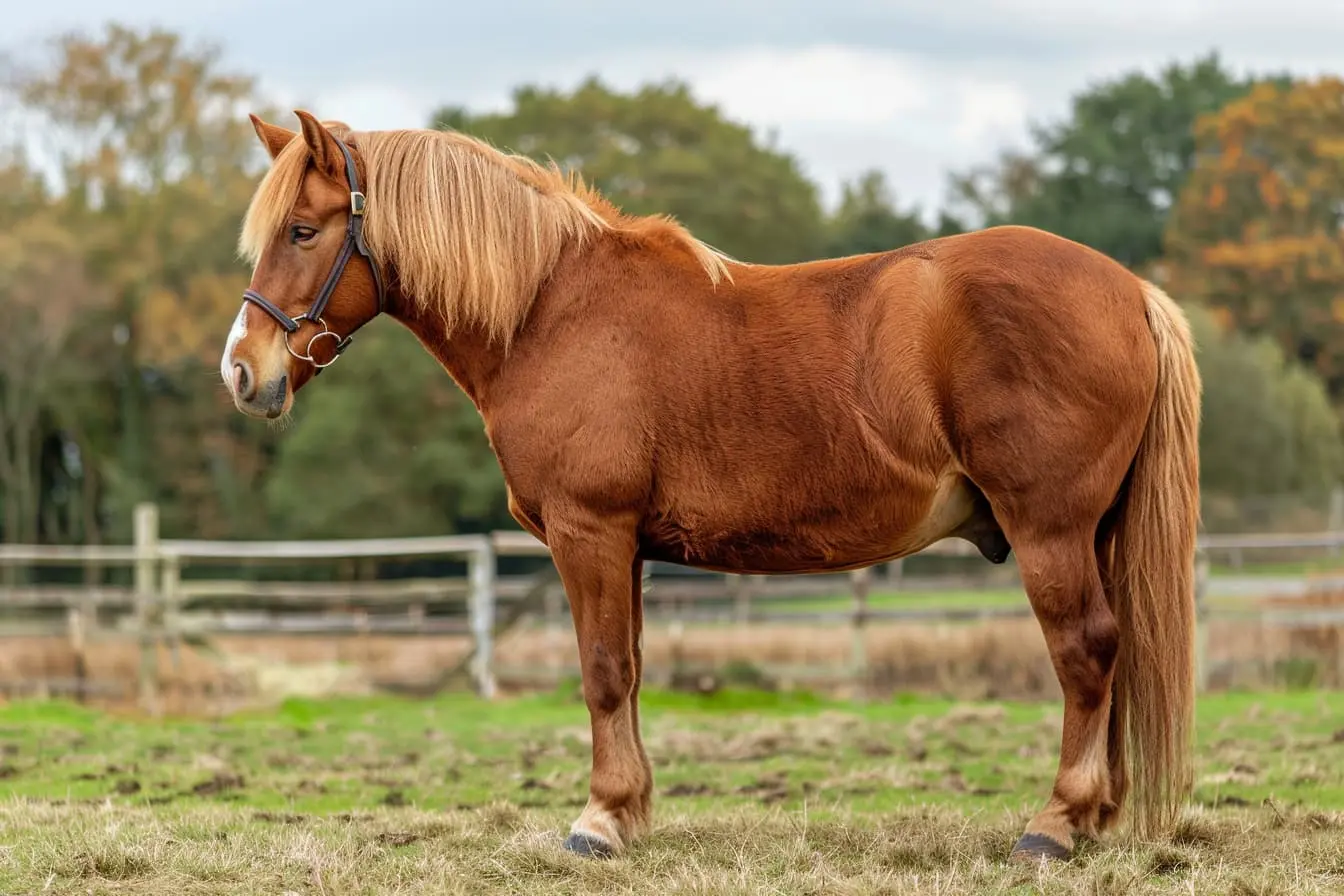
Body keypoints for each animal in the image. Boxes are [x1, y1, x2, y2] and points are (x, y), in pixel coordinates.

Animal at [223, 108, 1209, 865]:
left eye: (303, 231)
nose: (242, 372)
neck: (549, 309)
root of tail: (1132, 291)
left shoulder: (590, 532)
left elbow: (602, 672)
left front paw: (598, 824)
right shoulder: (626, 548)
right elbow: (629, 671)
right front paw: (629, 813)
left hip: (1050, 530)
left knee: (1085, 653)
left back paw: (1055, 825)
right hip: (1095, 535)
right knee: (1113, 657)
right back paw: (1097, 817)